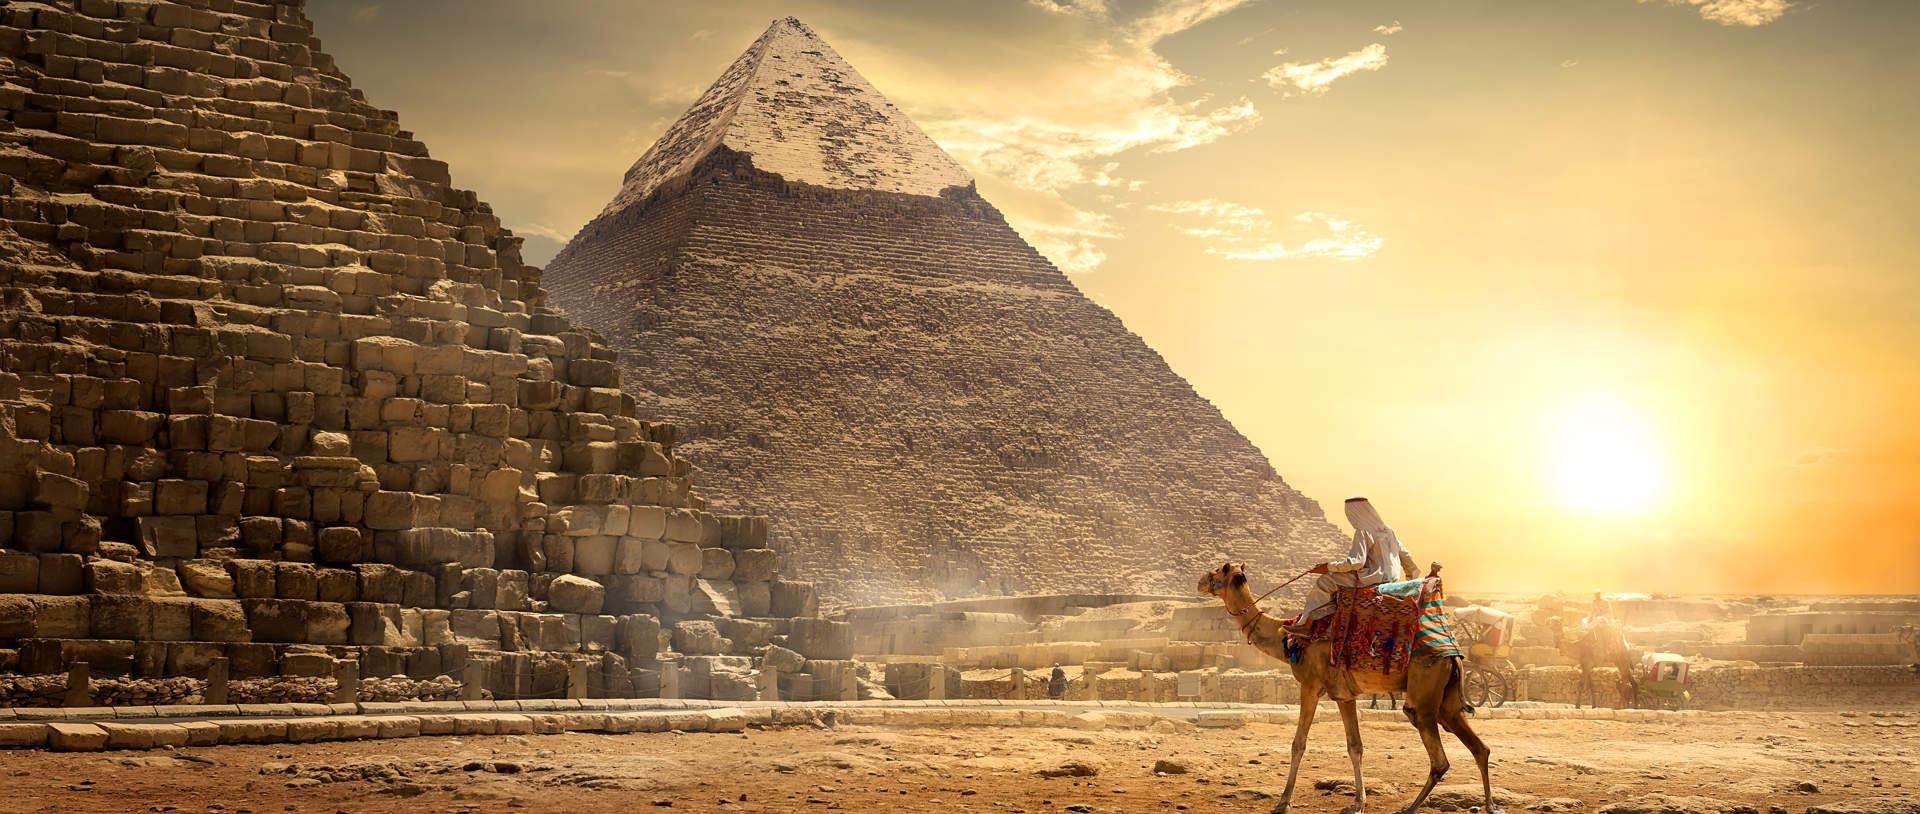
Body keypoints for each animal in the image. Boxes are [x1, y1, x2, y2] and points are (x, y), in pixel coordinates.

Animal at [1199, 562, 1496, 814]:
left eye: (1217, 571)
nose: (1201, 582)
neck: (1286, 638)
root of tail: (1453, 653)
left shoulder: (1310, 685)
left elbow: (1298, 744)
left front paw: (1283, 802)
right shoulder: (1344, 695)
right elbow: (1355, 746)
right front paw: (1358, 803)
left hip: (1424, 692)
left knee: (1438, 757)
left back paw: (1410, 808)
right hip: (1446, 700)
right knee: (1479, 747)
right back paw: (1491, 806)